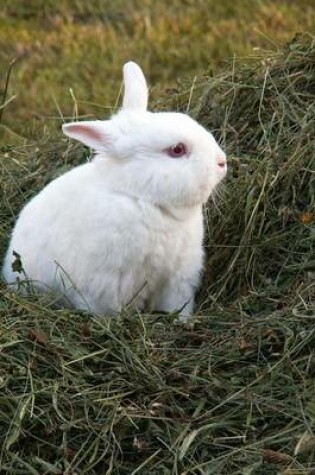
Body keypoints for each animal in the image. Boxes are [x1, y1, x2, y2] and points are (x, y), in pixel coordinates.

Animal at [1, 60, 227, 320]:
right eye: (177, 150)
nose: (222, 162)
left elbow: (177, 304)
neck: (145, 200)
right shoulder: (107, 282)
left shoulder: (178, 278)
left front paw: (182, 321)